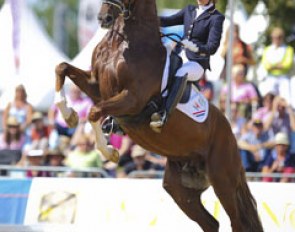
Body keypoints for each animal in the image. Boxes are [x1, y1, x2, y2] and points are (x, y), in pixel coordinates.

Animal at [54, 0, 264, 231]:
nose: (103, 18)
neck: (122, 44)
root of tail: (231, 134)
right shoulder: (96, 86)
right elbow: (62, 68)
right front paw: (69, 115)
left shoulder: (132, 99)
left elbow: (93, 112)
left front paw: (110, 152)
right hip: (179, 187)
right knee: (210, 223)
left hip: (223, 180)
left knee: (236, 221)